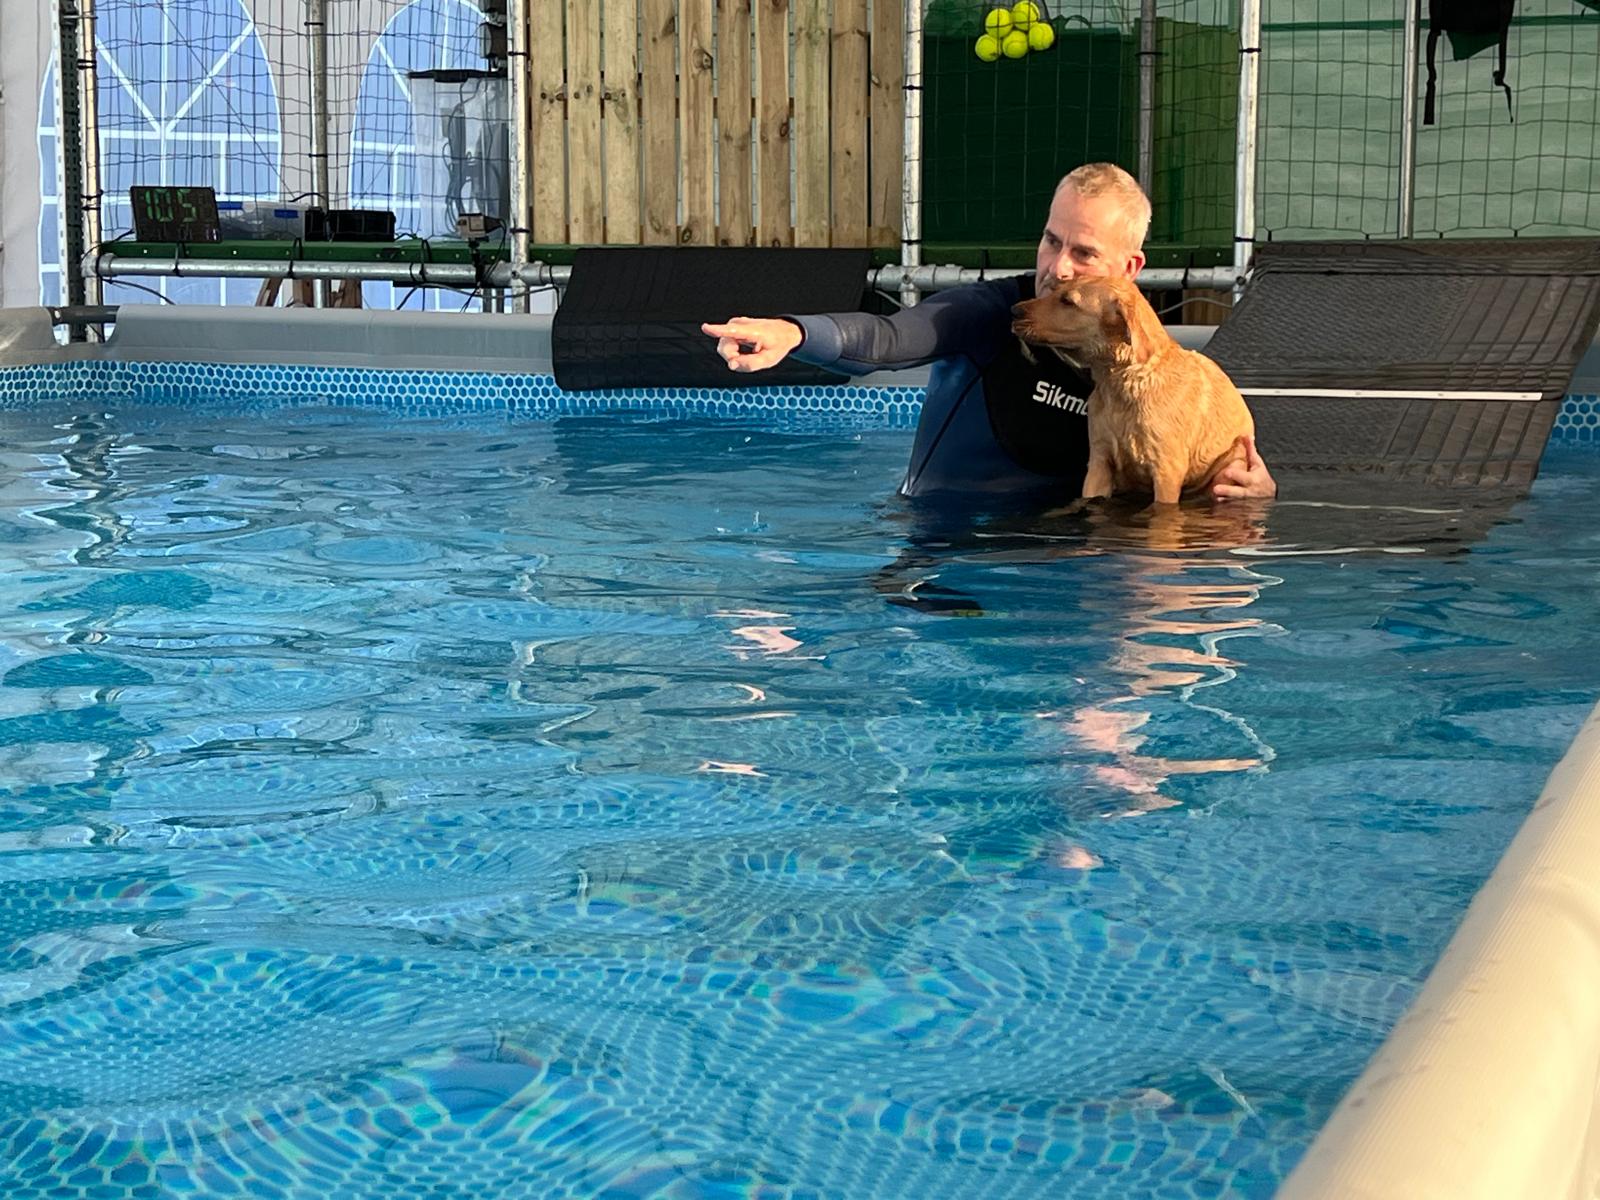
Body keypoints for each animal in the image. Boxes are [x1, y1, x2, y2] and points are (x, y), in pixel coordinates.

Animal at [1011, 275, 1254, 505]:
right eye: (1054, 290)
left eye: (1068, 301)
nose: (1014, 311)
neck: (1119, 382)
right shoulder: (1099, 462)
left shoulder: (1167, 471)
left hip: (1231, 466)